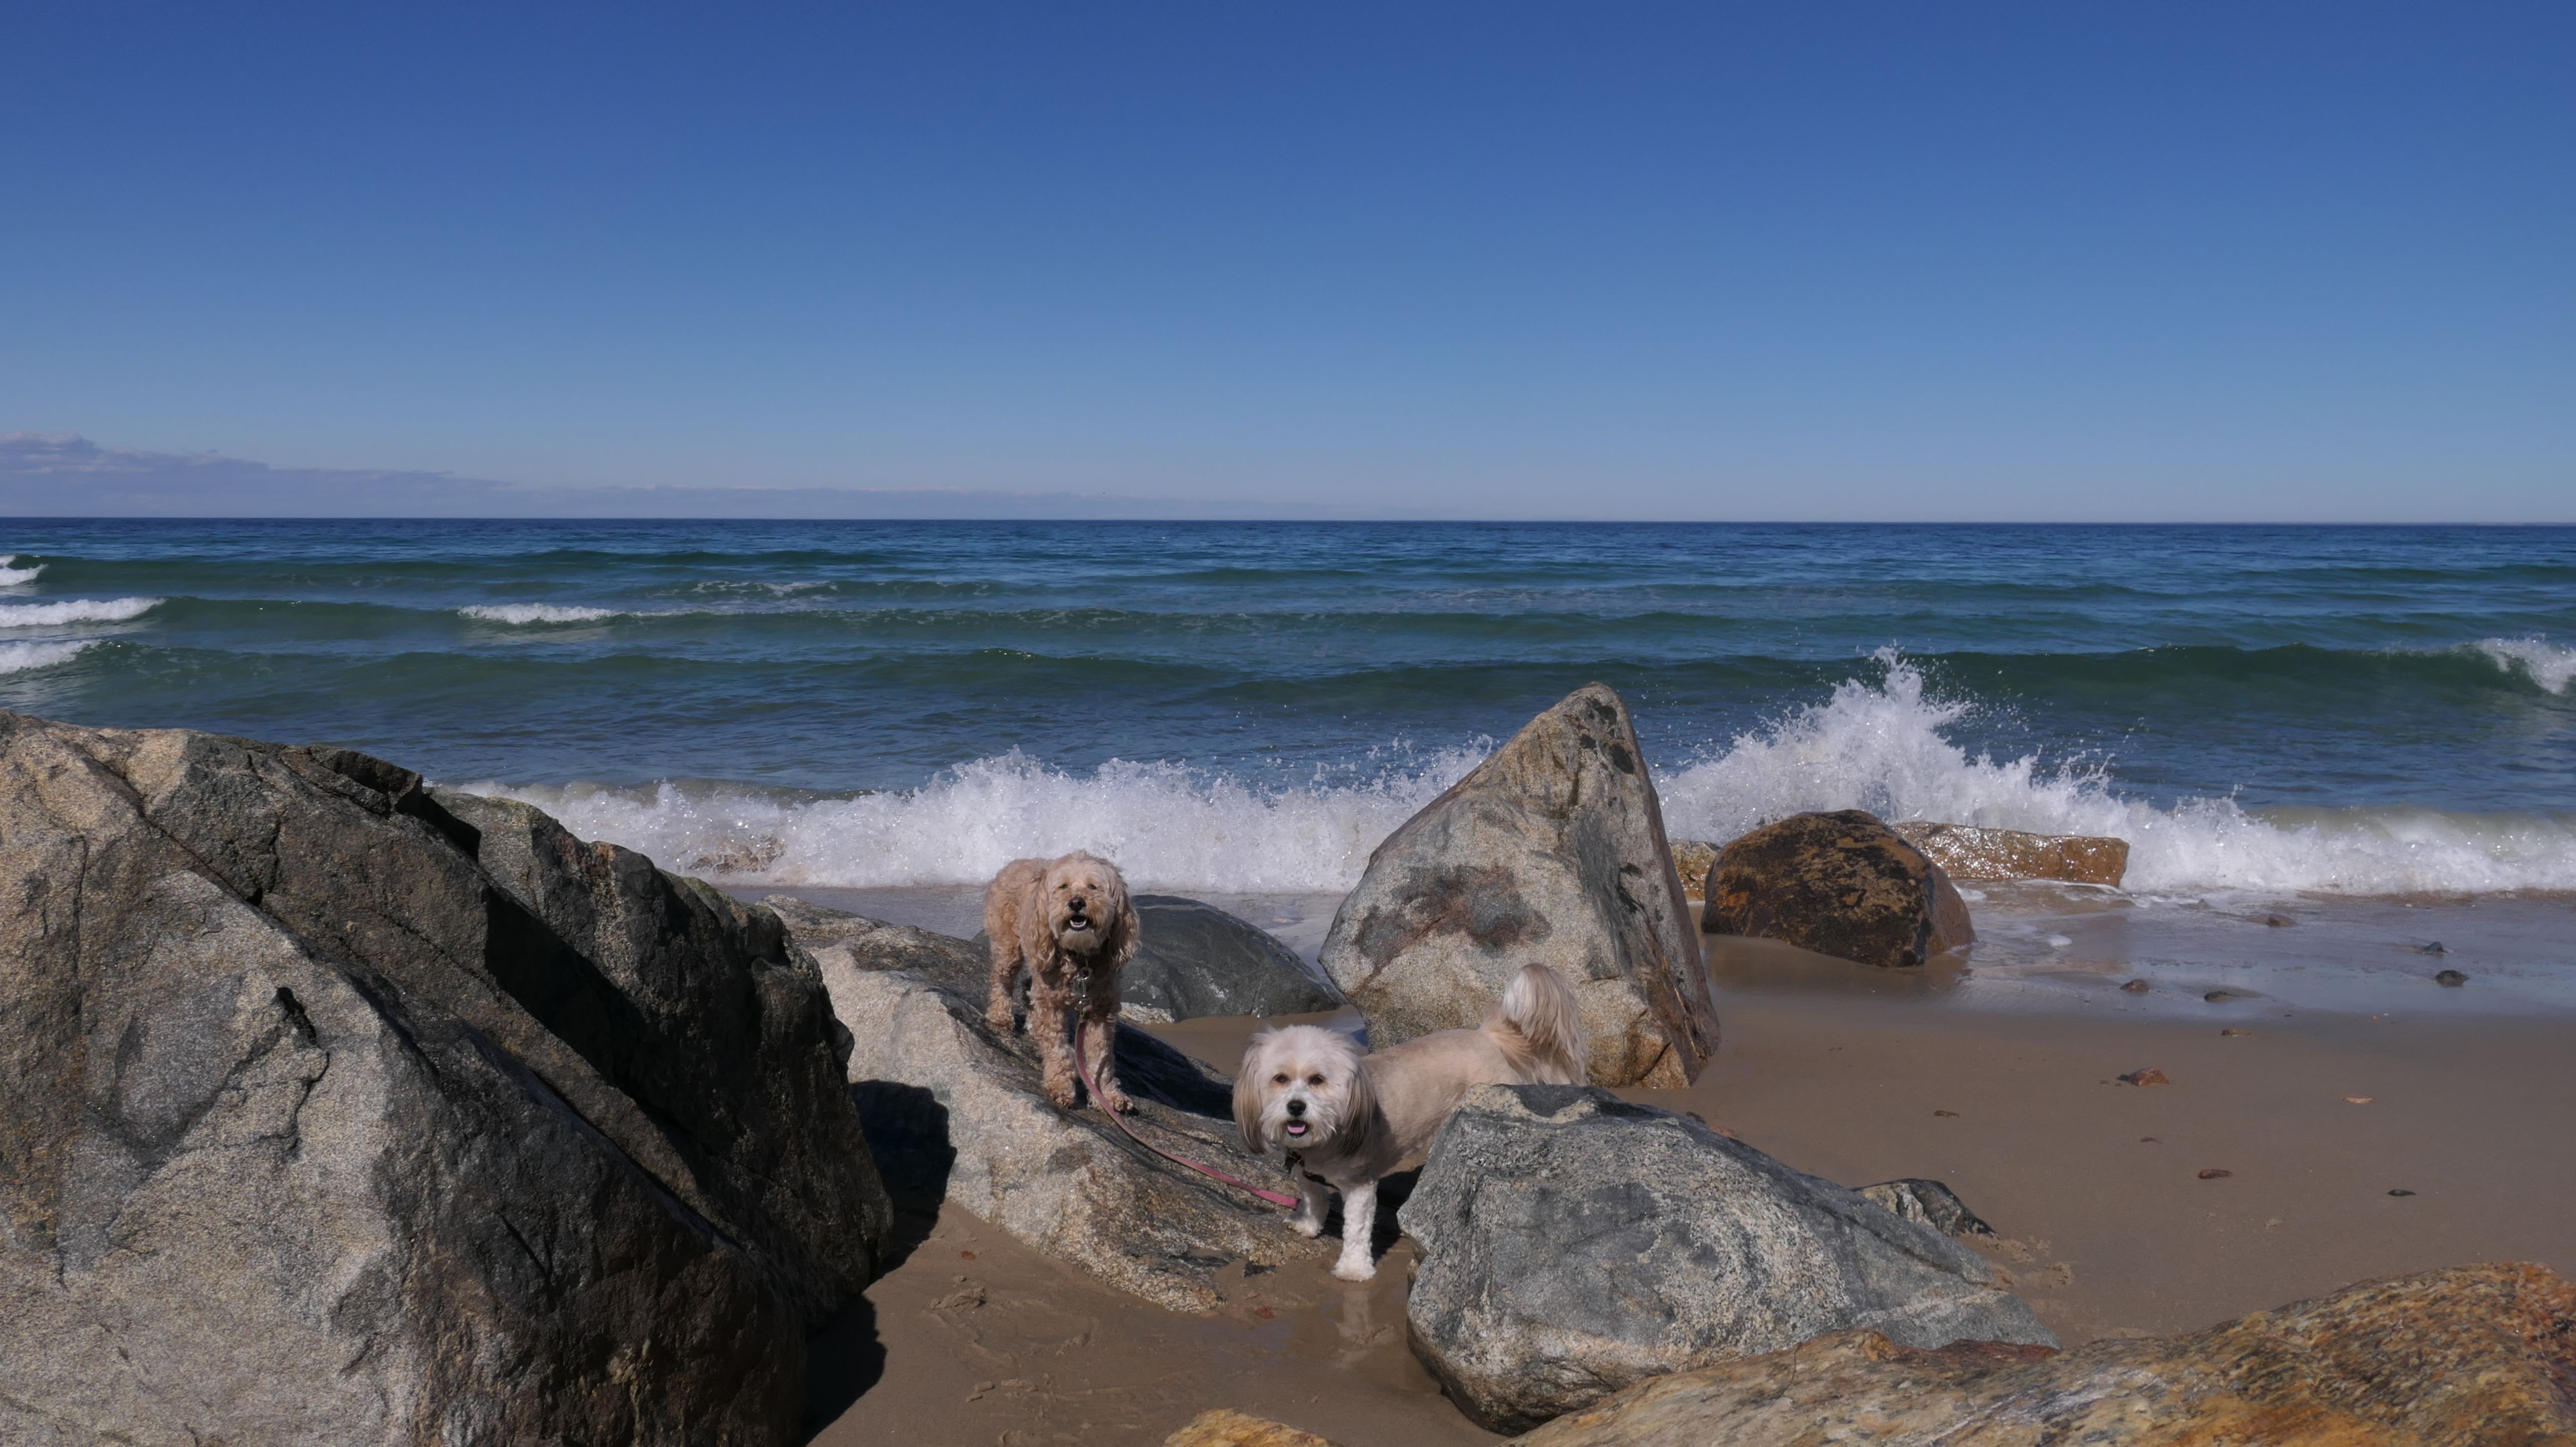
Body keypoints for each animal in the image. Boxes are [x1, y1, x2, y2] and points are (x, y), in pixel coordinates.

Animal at [983, 851, 1141, 1112]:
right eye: (1063, 886)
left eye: (1093, 886)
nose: (1076, 902)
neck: (1080, 957)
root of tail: (1014, 863)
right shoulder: (1052, 1005)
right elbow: (1058, 1048)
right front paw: (1060, 1086)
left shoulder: (1100, 1011)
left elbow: (1101, 1056)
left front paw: (1107, 1095)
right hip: (1009, 948)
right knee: (1002, 979)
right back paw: (1000, 1015)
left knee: (1028, 988)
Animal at [1233, 962, 1586, 1280]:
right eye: (1280, 1079)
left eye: (1317, 1080)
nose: (1296, 1107)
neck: (1327, 1138)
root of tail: (1487, 1038)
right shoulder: (1305, 1170)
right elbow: (1313, 1196)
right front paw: (1307, 1224)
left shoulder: (1361, 1186)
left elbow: (1356, 1230)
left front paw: (1353, 1269)